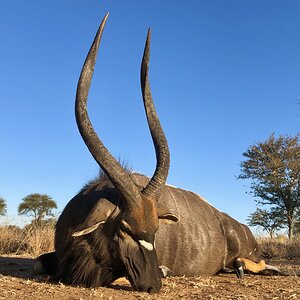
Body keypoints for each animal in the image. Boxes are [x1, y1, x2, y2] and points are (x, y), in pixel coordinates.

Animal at [35, 14, 282, 292]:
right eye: (124, 228)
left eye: (155, 230)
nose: (152, 284)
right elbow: (37, 265)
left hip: (249, 254)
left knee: (259, 264)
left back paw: (242, 266)